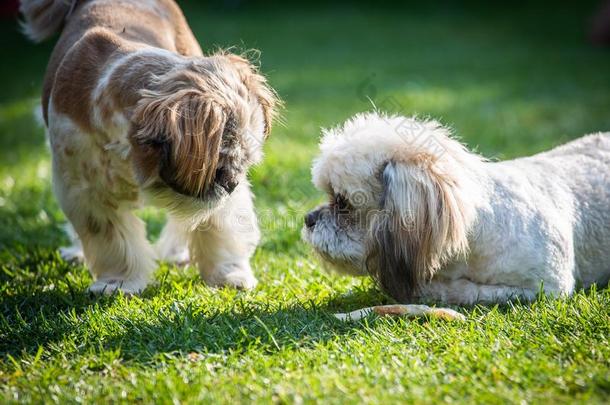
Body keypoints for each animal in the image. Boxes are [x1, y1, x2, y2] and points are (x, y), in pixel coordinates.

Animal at [21, 0, 276, 292]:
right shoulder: (84, 190)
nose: (232, 182)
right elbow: (112, 238)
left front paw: (228, 274)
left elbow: (218, 226)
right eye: (220, 162)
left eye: (244, 163)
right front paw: (118, 282)